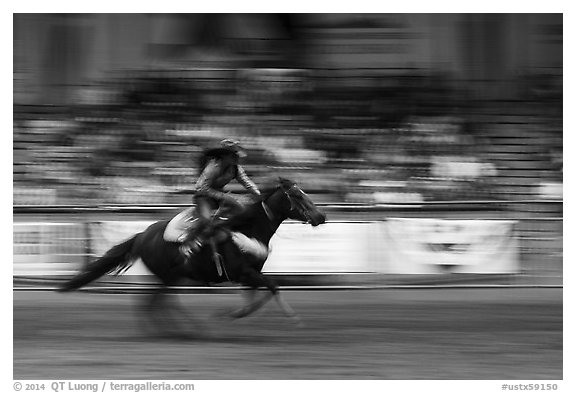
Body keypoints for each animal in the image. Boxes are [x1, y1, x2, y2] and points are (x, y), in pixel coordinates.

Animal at [58, 178, 328, 334]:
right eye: (298, 195)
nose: (321, 216)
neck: (246, 229)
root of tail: (142, 235)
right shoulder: (244, 272)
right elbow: (273, 286)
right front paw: (294, 318)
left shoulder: (249, 275)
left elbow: (256, 298)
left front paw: (232, 314)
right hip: (168, 276)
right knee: (157, 303)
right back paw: (182, 329)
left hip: (171, 277)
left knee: (158, 303)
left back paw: (178, 328)